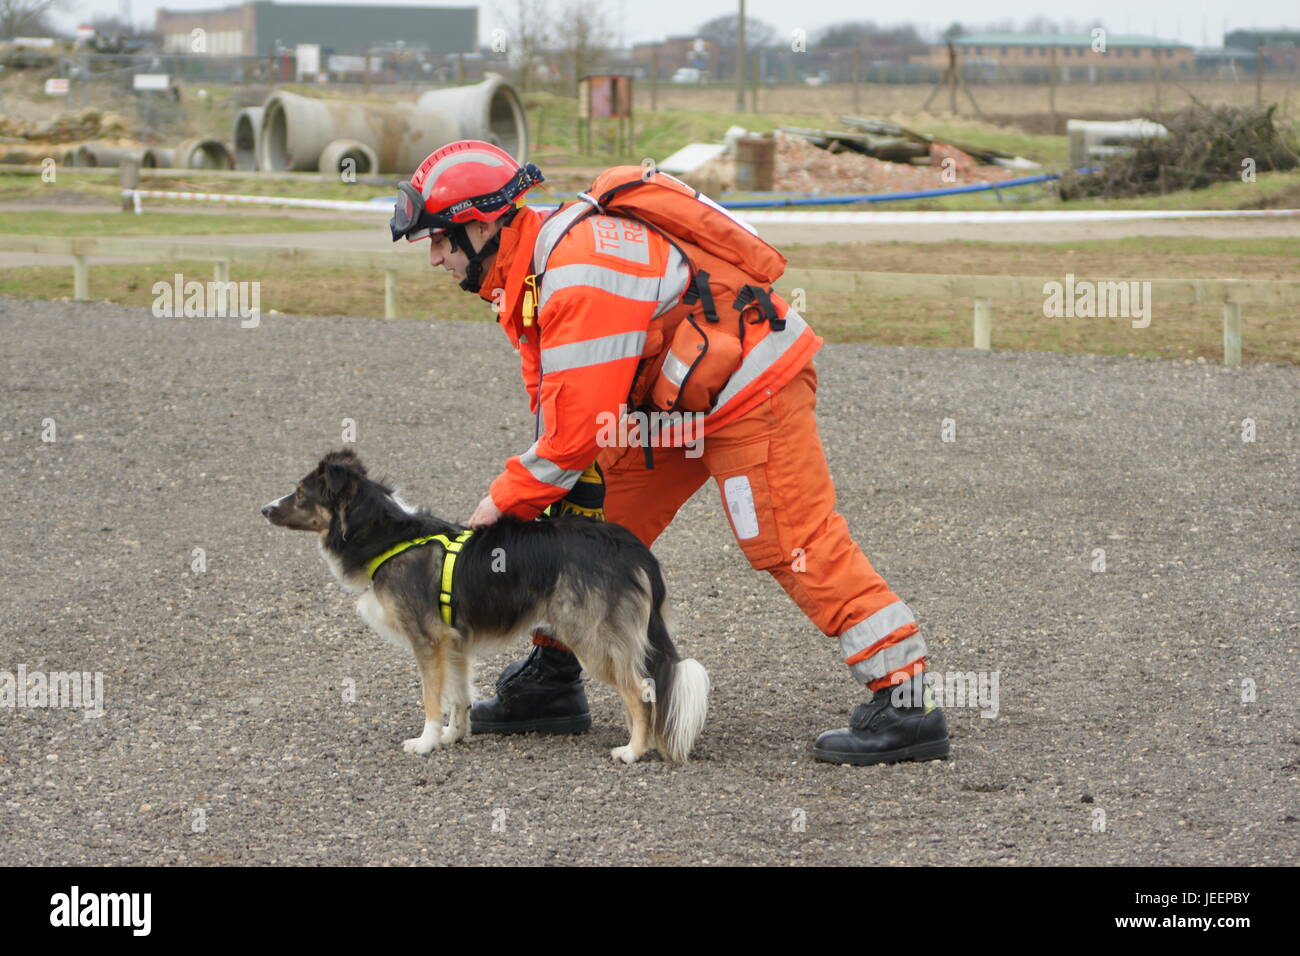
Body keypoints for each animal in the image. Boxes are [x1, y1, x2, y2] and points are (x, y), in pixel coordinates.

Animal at [261, 447, 712, 764]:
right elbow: (457, 695)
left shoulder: (427, 640)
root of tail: (631, 549)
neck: (386, 536)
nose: (264, 508)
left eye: (300, 494)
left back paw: (634, 750)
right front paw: (452, 735)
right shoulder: (454, 641)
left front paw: (426, 742)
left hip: (591, 636)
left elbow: (431, 697)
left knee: (642, 690)